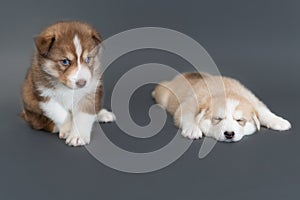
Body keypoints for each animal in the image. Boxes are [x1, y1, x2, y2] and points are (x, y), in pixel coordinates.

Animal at [152, 72, 290, 142]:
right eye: (217, 119)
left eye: (239, 120)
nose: (229, 134)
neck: (226, 91)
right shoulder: (190, 103)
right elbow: (187, 115)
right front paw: (192, 129)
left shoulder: (252, 99)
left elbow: (262, 111)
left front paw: (279, 121)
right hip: (165, 94)